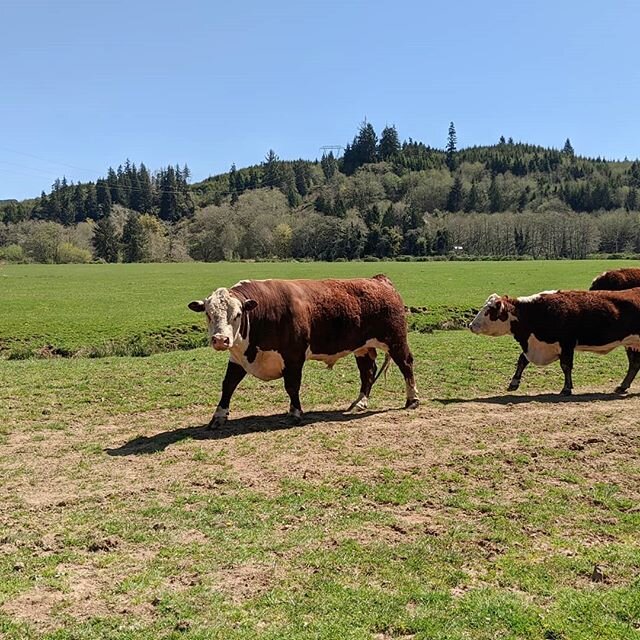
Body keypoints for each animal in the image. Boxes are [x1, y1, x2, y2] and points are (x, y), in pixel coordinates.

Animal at [186, 276, 420, 430]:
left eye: (237, 314)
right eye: (208, 314)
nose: (220, 340)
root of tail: (379, 280)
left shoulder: (293, 357)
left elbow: (292, 386)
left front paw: (295, 413)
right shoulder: (238, 358)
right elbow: (228, 385)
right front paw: (218, 417)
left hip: (396, 340)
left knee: (406, 364)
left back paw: (413, 399)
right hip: (362, 347)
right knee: (367, 372)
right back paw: (360, 402)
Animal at [468, 288, 640, 396]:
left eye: (489, 311)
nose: (471, 325)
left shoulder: (566, 344)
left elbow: (566, 366)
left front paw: (566, 389)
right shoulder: (536, 345)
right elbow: (522, 360)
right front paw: (514, 383)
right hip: (632, 345)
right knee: (634, 364)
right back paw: (622, 386)